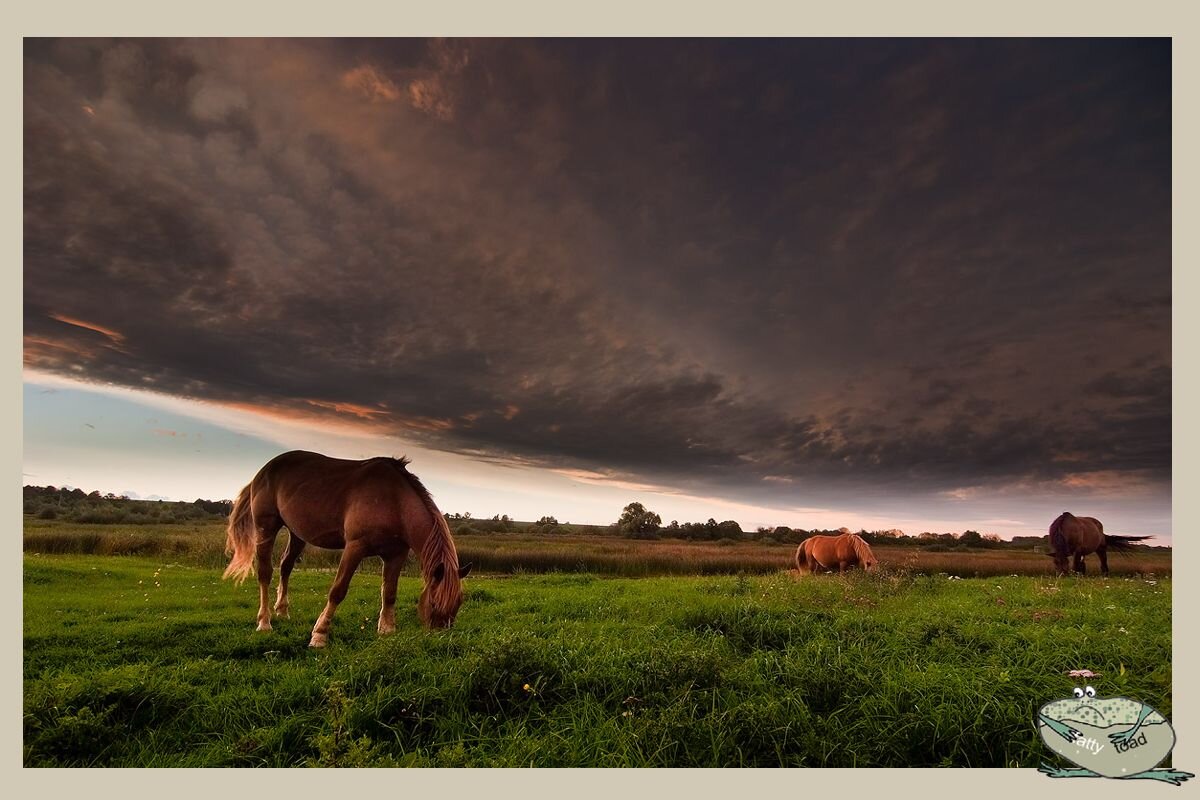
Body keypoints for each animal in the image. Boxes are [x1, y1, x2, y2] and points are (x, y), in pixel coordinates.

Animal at [223, 453, 470, 647]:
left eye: (459, 603)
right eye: (435, 603)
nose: (439, 639)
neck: (395, 502)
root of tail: (263, 471)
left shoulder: (395, 555)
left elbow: (389, 593)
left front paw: (387, 630)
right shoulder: (355, 548)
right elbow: (338, 590)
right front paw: (319, 635)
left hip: (297, 534)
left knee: (286, 566)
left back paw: (283, 611)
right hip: (266, 528)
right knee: (265, 572)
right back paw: (264, 622)